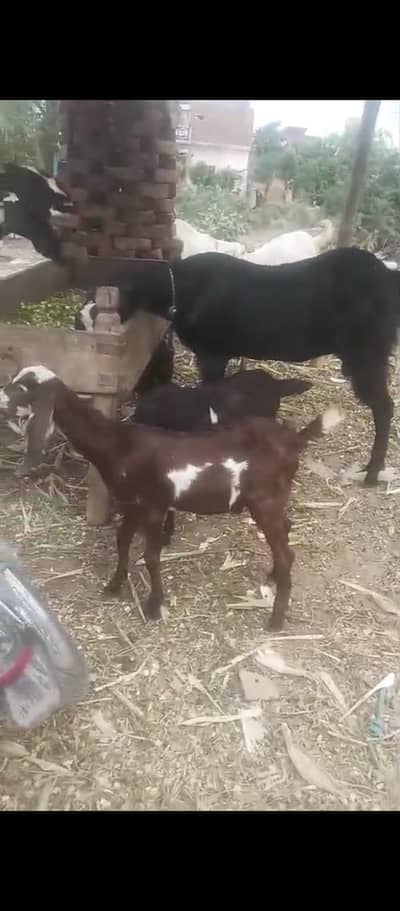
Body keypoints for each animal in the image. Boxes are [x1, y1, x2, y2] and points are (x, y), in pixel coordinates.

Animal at [0, 365, 342, 631]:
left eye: (23, 388)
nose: (0, 400)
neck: (120, 444)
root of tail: (295, 439)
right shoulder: (133, 504)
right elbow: (122, 541)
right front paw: (113, 587)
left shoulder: (154, 505)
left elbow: (151, 556)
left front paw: (154, 606)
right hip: (274, 499)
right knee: (287, 530)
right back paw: (272, 576)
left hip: (264, 502)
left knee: (286, 553)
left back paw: (275, 620)